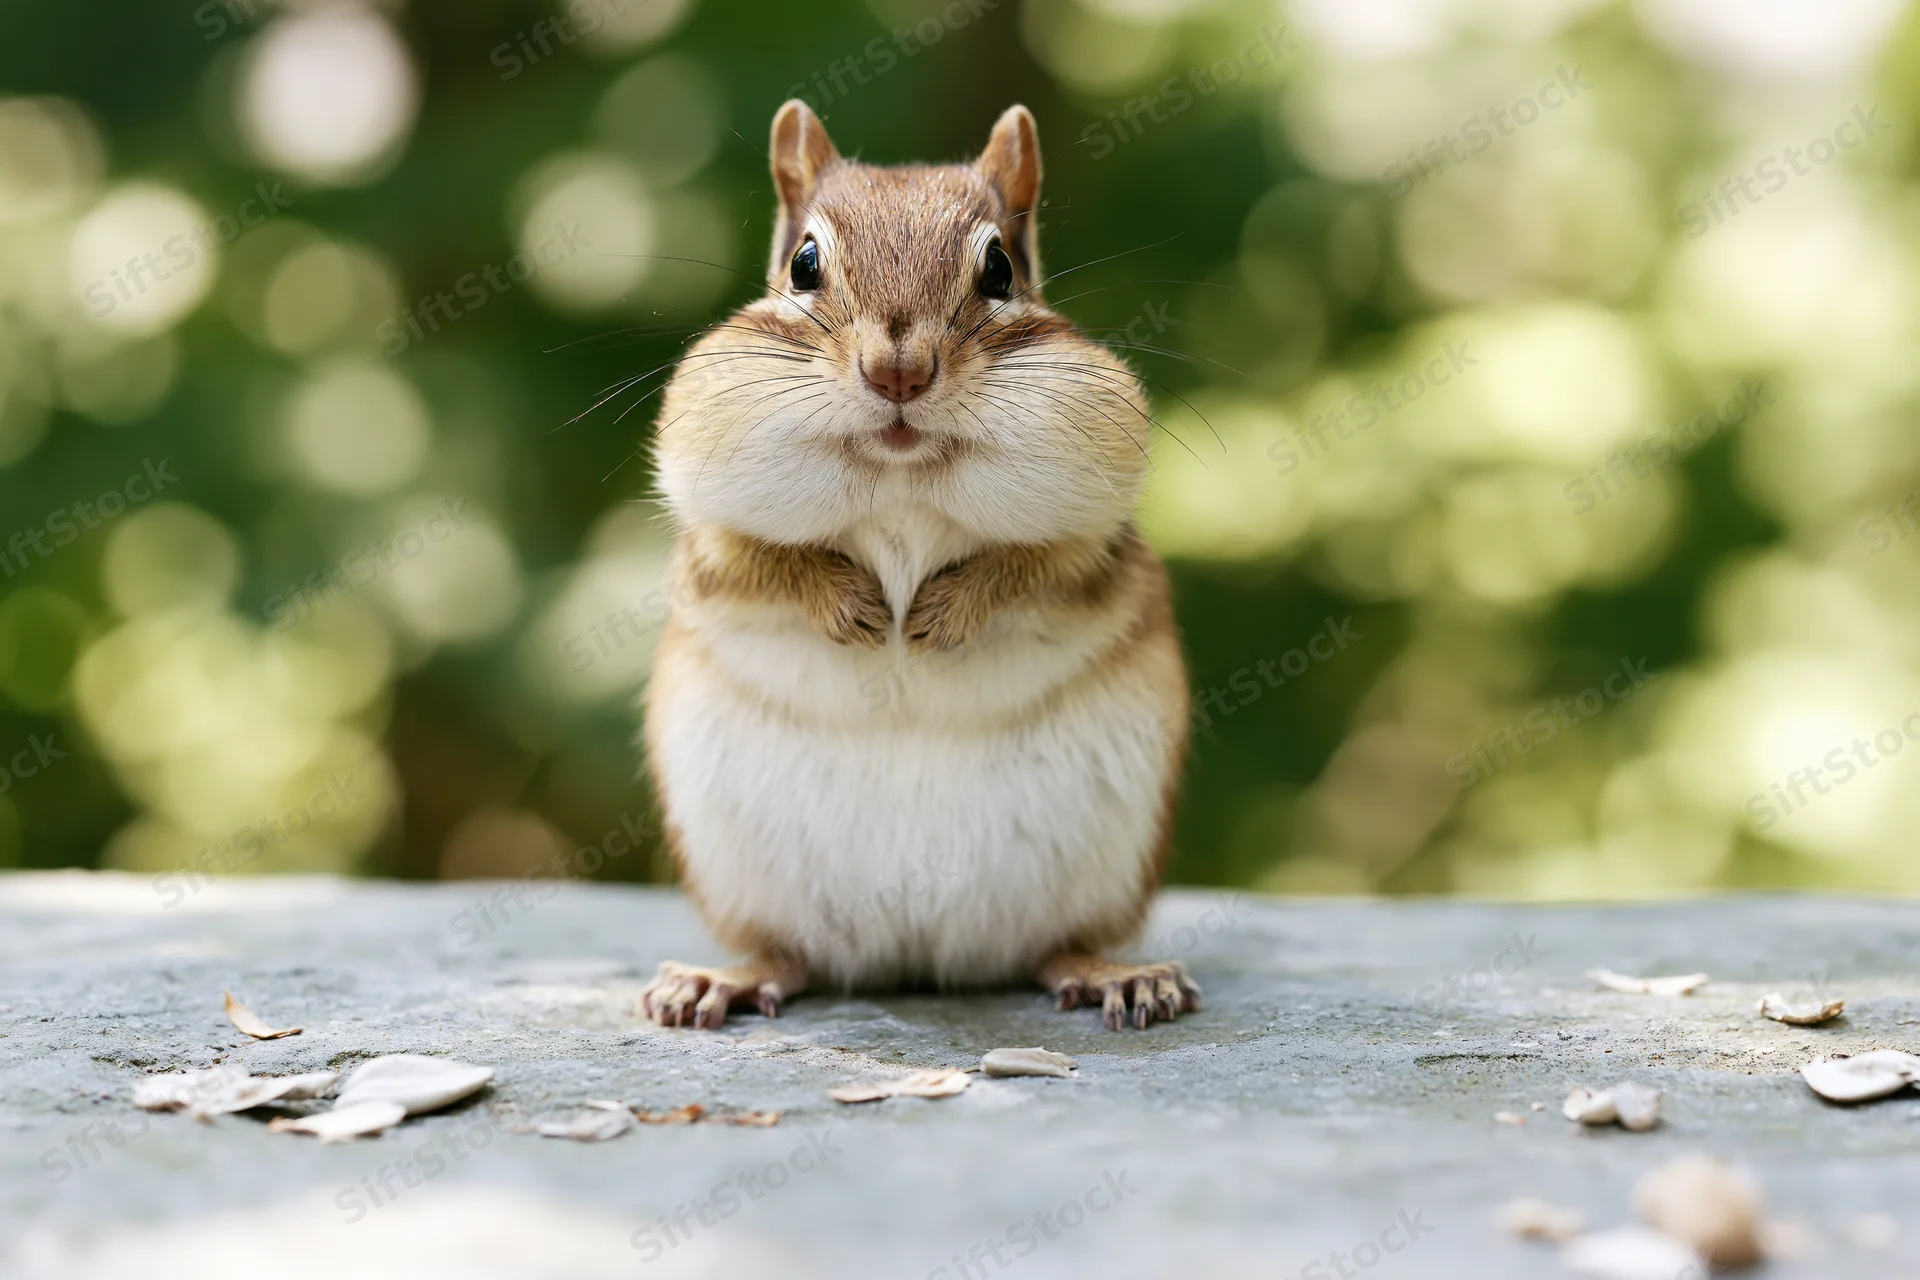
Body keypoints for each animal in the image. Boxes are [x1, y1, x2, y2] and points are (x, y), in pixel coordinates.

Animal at [638, 100, 1196, 1032]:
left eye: (999, 268)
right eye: (805, 263)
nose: (897, 371)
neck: (900, 479)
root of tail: (916, 957)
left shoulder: (1095, 544)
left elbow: (1038, 565)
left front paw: (946, 611)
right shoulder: (711, 543)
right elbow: (763, 562)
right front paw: (852, 606)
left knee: (1056, 947)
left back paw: (1119, 974)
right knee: (789, 956)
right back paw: (725, 978)